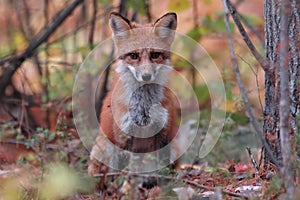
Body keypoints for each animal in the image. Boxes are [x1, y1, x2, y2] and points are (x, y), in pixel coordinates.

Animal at [88, 12, 178, 175]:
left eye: (155, 55)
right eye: (134, 56)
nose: (146, 76)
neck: (144, 105)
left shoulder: (162, 131)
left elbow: (161, 167)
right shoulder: (124, 134)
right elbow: (122, 168)